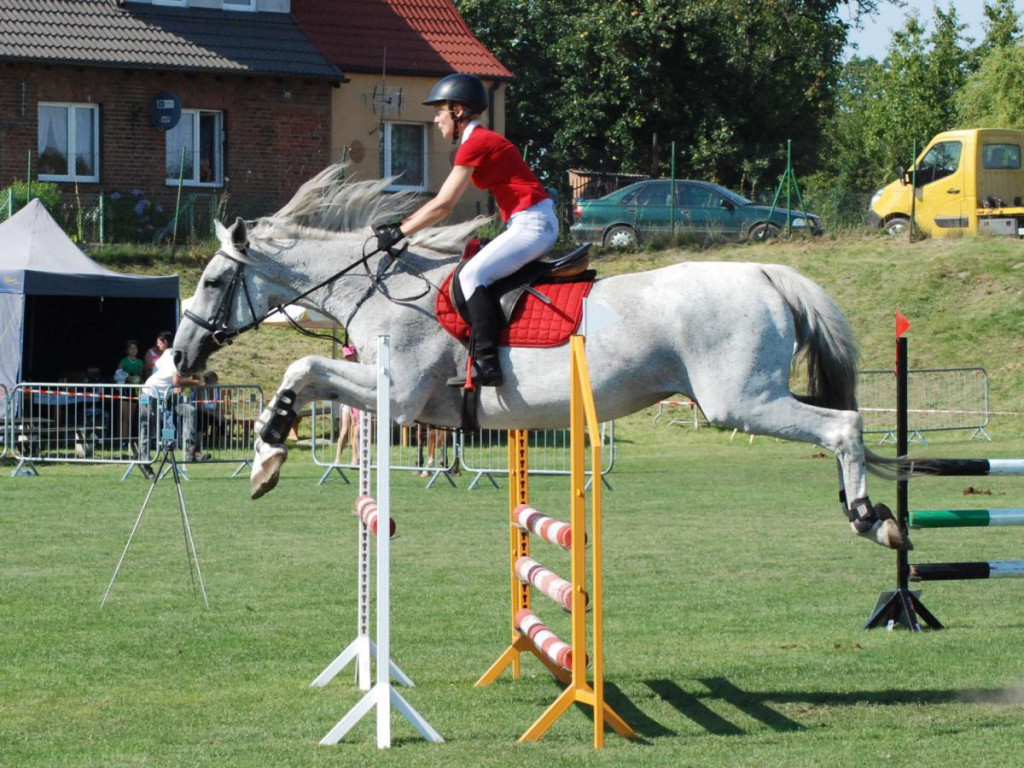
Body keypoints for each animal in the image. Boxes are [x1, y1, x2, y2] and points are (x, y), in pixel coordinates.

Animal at [172, 167, 909, 548]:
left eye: (212, 281)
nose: (180, 357)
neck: (380, 285)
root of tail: (763, 271)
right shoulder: (403, 399)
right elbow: (311, 378)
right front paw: (267, 457)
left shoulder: (402, 395)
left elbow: (304, 371)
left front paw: (266, 449)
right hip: (753, 395)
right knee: (840, 423)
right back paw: (869, 513)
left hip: (741, 400)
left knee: (843, 426)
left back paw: (870, 519)